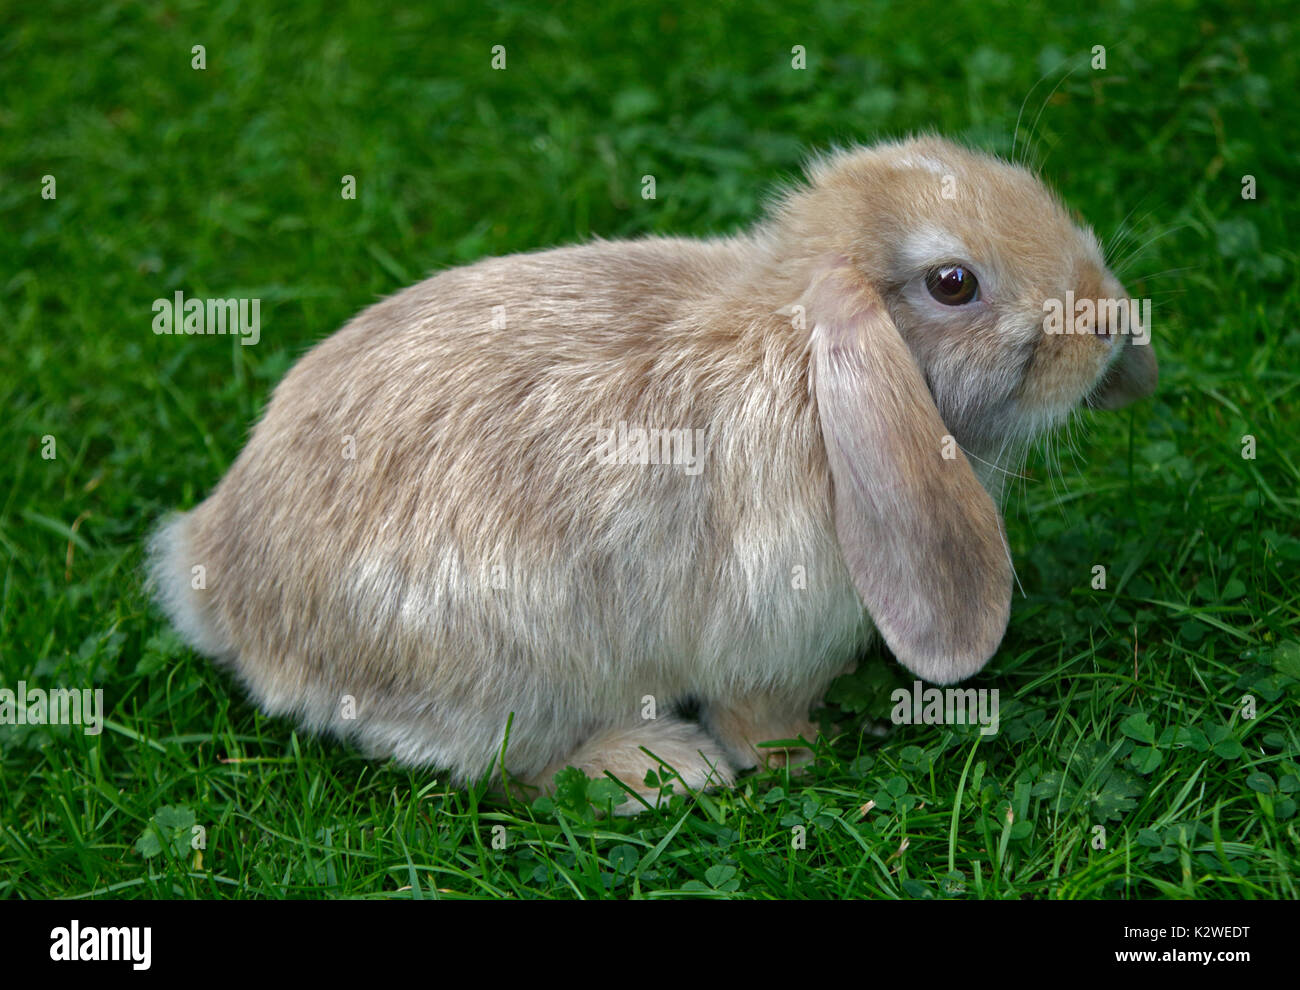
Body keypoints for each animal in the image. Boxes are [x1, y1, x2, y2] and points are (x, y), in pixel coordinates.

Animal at [148, 136, 1157, 812]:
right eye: (953, 283)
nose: (1110, 321)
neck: (802, 358)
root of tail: (217, 583)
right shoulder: (765, 634)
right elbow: (758, 717)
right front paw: (804, 753)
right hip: (516, 666)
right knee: (512, 771)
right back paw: (663, 767)